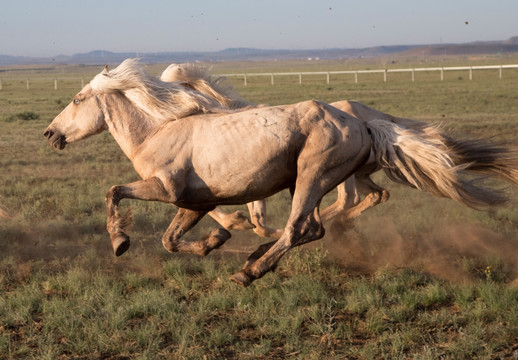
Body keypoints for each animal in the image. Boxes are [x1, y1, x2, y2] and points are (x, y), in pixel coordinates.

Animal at [161, 62, 518, 246]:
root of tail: (377, 118)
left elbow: (255, 218)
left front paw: (257, 230)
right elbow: (249, 215)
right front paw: (243, 226)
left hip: (344, 173)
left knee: (348, 199)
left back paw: (329, 227)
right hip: (360, 173)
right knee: (376, 195)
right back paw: (339, 226)